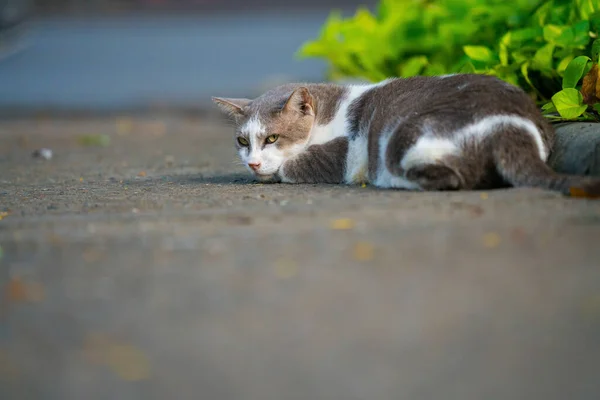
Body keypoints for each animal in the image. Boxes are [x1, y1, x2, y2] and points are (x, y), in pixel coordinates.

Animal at [213, 74, 600, 195]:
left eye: (272, 138)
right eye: (243, 141)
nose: (252, 162)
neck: (329, 113)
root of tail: (510, 124)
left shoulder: (341, 153)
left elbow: (293, 166)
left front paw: (272, 171)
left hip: (406, 134)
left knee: (452, 178)